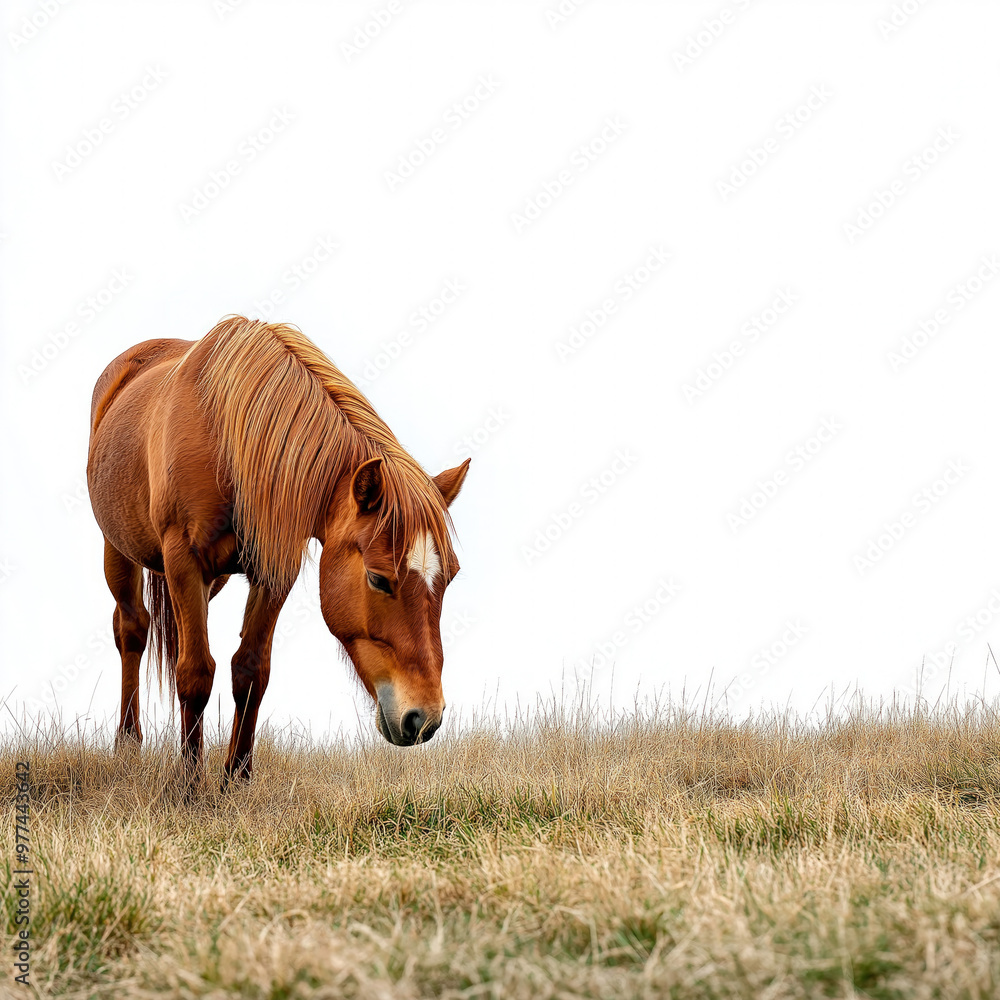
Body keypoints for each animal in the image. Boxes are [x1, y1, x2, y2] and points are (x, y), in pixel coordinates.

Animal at [86, 315, 470, 785]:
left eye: (450, 577)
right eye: (378, 578)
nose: (424, 718)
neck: (229, 444)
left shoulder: (273, 572)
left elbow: (250, 671)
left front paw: (236, 778)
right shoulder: (182, 560)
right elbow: (195, 673)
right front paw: (190, 784)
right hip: (119, 551)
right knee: (133, 630)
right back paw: (127, 744)